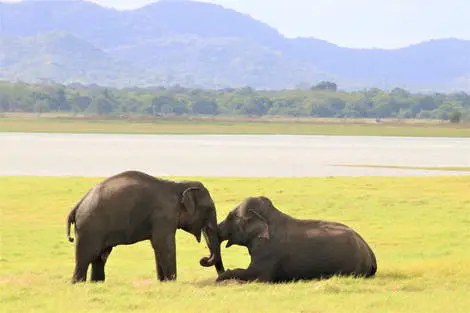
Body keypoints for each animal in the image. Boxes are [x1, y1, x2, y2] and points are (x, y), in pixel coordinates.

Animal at [65, 171, 225, 282]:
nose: (203, 259)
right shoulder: (163, 215)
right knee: (86, 256)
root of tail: (78, 205)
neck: (179, 184)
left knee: (100, 257)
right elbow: (164, 245)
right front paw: (171, 282)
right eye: (209, 209)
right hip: (89, 228)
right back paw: (78, 283)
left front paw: (163, 282)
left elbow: (158, 247)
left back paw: (97, 283)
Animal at [211, 196, 376, 282]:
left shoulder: (269, 251)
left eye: (230, 217)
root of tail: (371, 254)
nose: (217, 229)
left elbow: (257, 275)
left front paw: (221, 278)